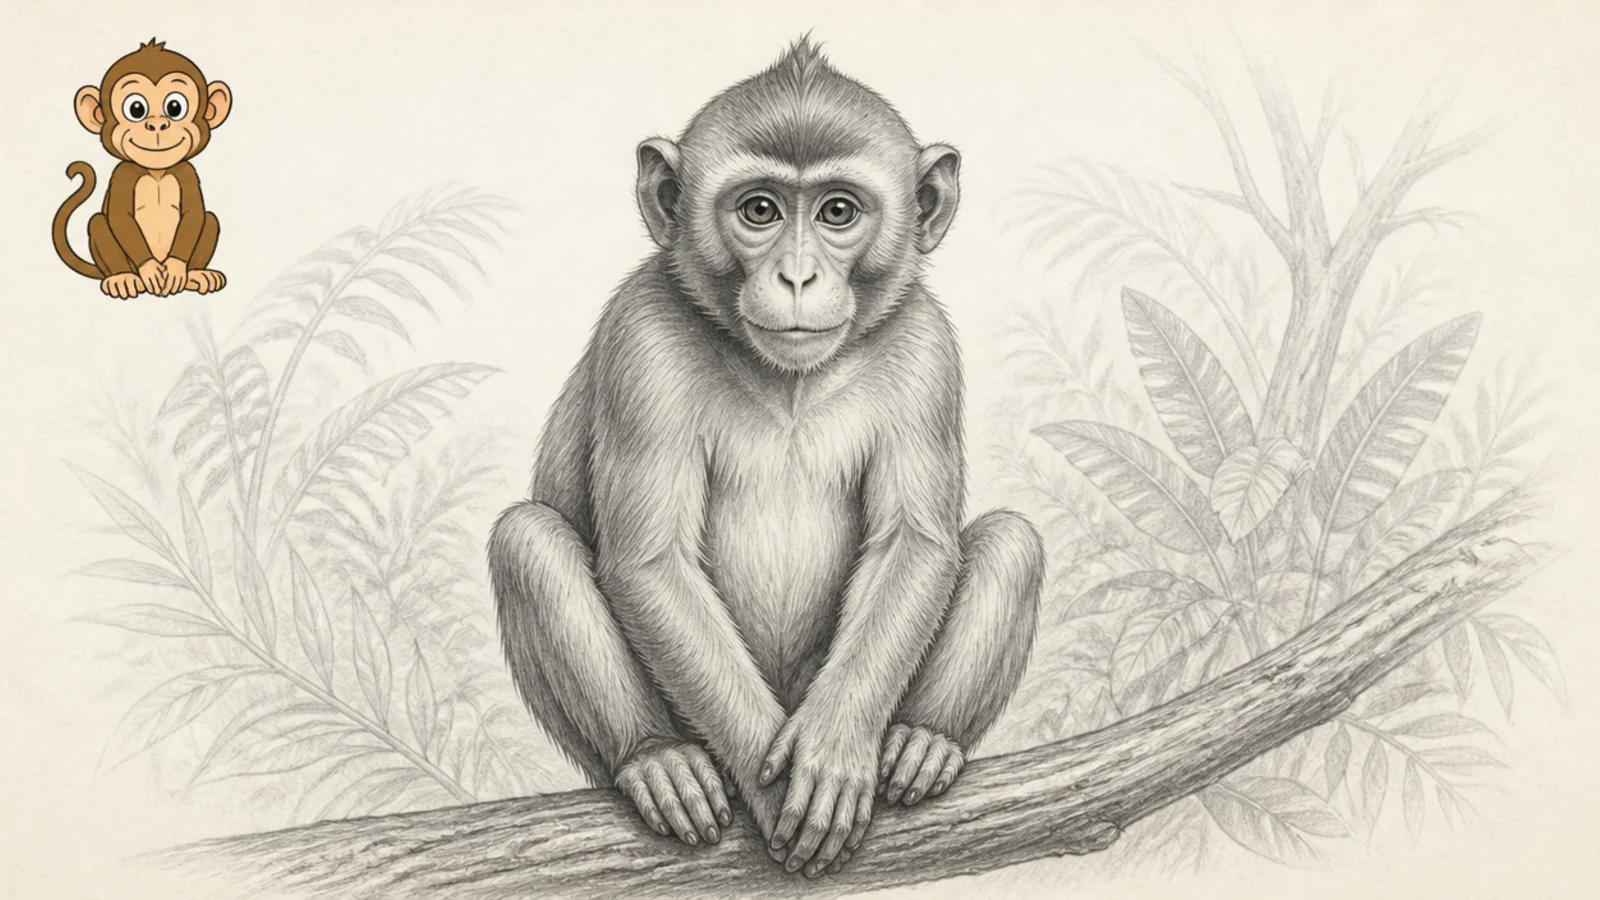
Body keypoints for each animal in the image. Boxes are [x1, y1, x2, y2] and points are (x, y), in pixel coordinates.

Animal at [53, 39, 231, 299]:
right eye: (136, 108)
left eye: (175, 107)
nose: (157, 124)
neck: (156, 171)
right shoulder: (122, 175)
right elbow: (120, 219)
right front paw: (149, 271)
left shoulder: (187, 173)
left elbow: (194, 215)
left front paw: (175, 270)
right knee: (98, 222)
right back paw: (122, 279)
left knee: (210, 219)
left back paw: (196, 275)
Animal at [489, 38, 1043, 878]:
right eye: (760, 210)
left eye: (838, 211)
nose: (797, 275)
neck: (790, 381)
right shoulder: (640, 335)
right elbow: (650, 563)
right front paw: (772, 782)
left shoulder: (925, 347)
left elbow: (910, 545)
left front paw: (838, 746)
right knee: (526, 540)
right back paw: (656, 755)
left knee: (1012, 540)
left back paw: (925, 739)